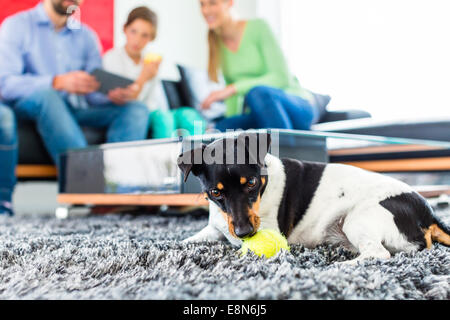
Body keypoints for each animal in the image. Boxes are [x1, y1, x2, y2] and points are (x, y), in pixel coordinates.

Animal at [178, 131, 450, 264]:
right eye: (215, 193)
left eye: (252, 183)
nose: (245, 233)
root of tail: (429, 214)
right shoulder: (216, 226)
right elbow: (190, 239)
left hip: (357, 220)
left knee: (380, 254)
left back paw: (341, 266)